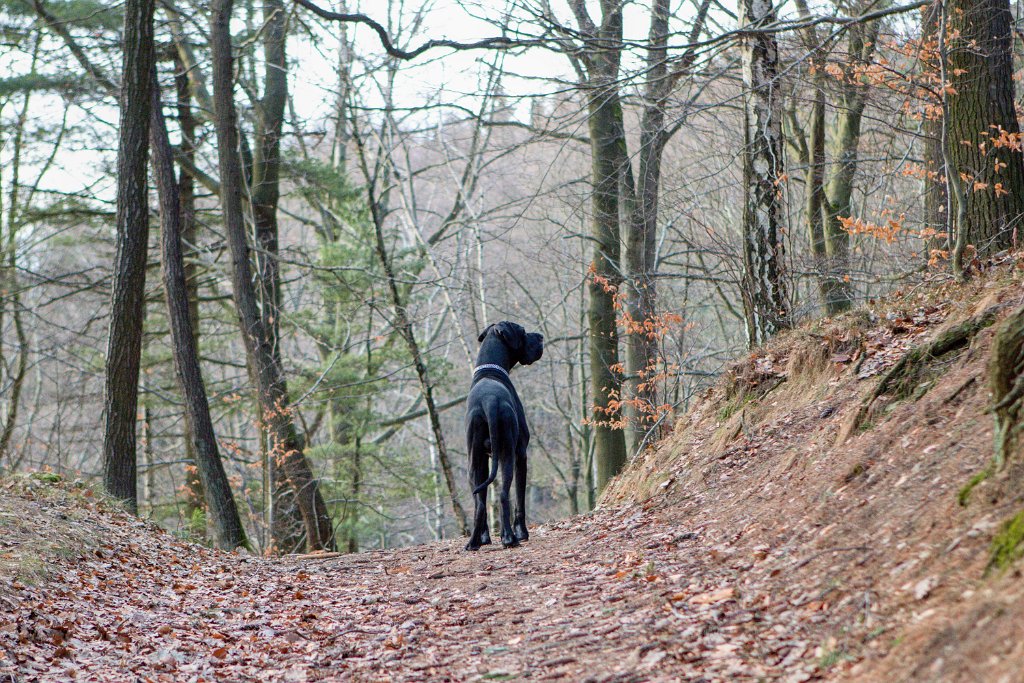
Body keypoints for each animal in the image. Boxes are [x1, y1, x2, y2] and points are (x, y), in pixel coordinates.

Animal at [464, 321, 544, 548]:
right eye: (524, 332)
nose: (541, 336)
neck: (490, 370)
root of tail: (489, 401)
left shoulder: (483, 460)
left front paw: (484, 538)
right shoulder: (521, 454)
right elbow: (519, 498)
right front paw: (522, 532)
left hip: (474, 462)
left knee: (480, 503)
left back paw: (474, 542)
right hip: (507, 454)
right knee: (503, 495)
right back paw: (510, 538)